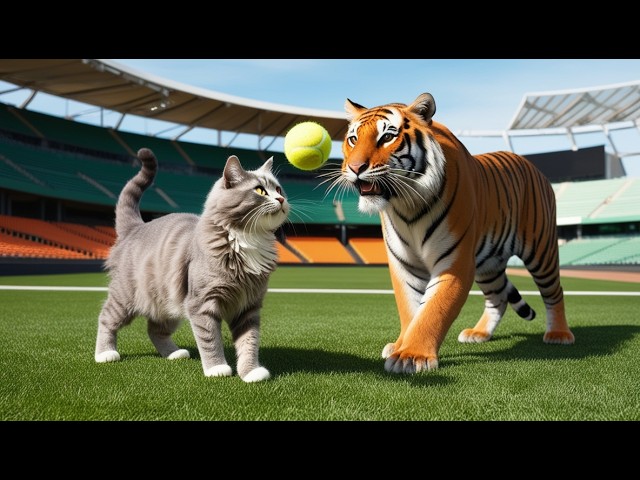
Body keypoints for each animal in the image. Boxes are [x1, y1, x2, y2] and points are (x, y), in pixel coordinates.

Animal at [95, 147, 290, 382]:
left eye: (278, 188)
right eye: (260, 191)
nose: (281, 198)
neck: (247, 239)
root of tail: (136, 227)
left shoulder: (248, 306)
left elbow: (249, 342)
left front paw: (250, 371)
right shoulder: (202, 303)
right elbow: (210, 339)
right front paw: (217, 368)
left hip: (167, 303)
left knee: (154, 330)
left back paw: (174, 353)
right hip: (126, 297)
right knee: (106, 318)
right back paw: (105, 353)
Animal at [336, 92, 576, 374]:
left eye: (386, 137)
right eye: (353, 139)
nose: (355, 168)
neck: (405, 205)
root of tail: (530, 164)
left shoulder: (454, 263)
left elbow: (433, 310)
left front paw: (412, 356)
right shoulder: (404, 265)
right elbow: (410, 309)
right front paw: (400, 346)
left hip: (541, 250)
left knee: (554, 291)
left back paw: (559, 334)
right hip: (488, 264)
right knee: (498, 298)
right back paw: (479, 333)